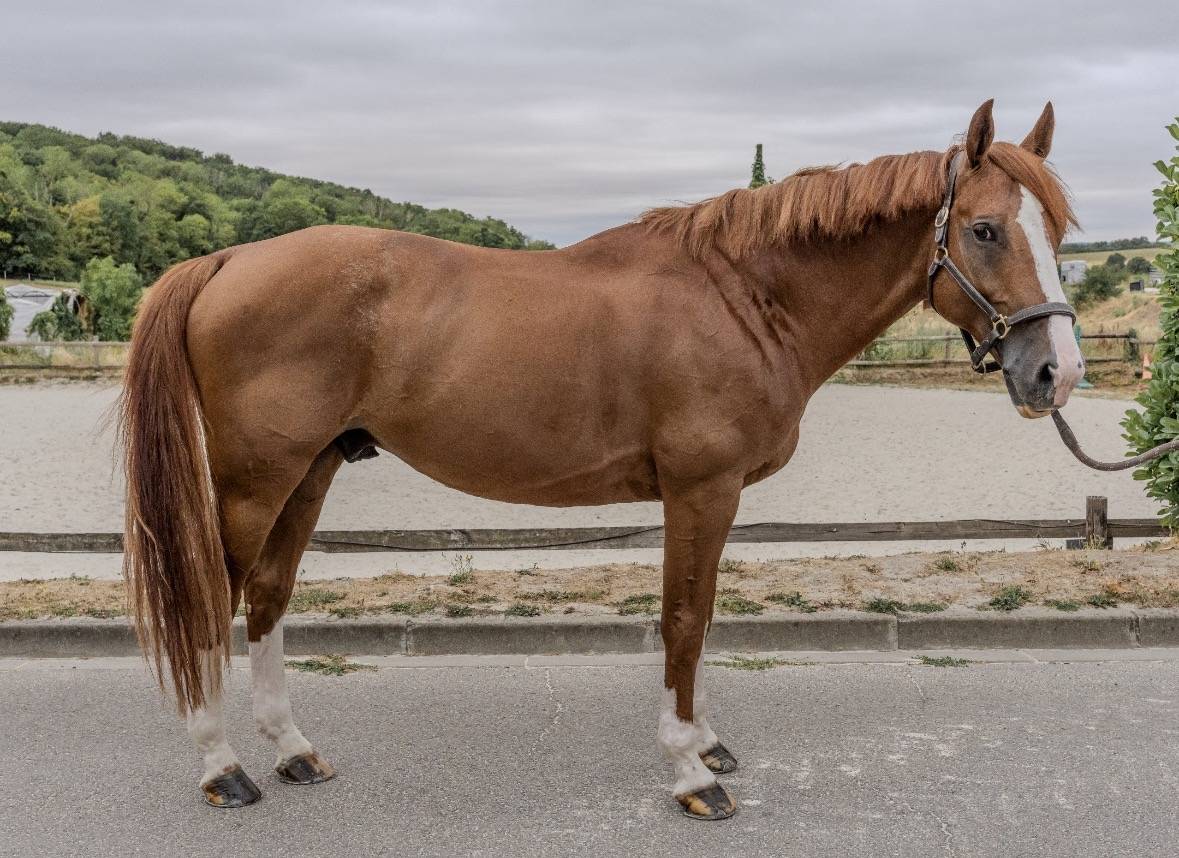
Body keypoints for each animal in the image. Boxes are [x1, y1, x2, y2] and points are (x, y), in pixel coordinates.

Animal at [120, 99, 1082, 820]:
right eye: (986, 230)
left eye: (1060, 230)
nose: (1055, 373)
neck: (744, 297)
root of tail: (229, 258)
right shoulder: (700, 491)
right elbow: (683, 622)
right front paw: (689, 771)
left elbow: (700, 620)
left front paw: (705, 746)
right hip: (256, 481)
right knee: (214, 598)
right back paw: (222, 767)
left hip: (311, 470)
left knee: (268, 596)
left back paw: (292, 750)